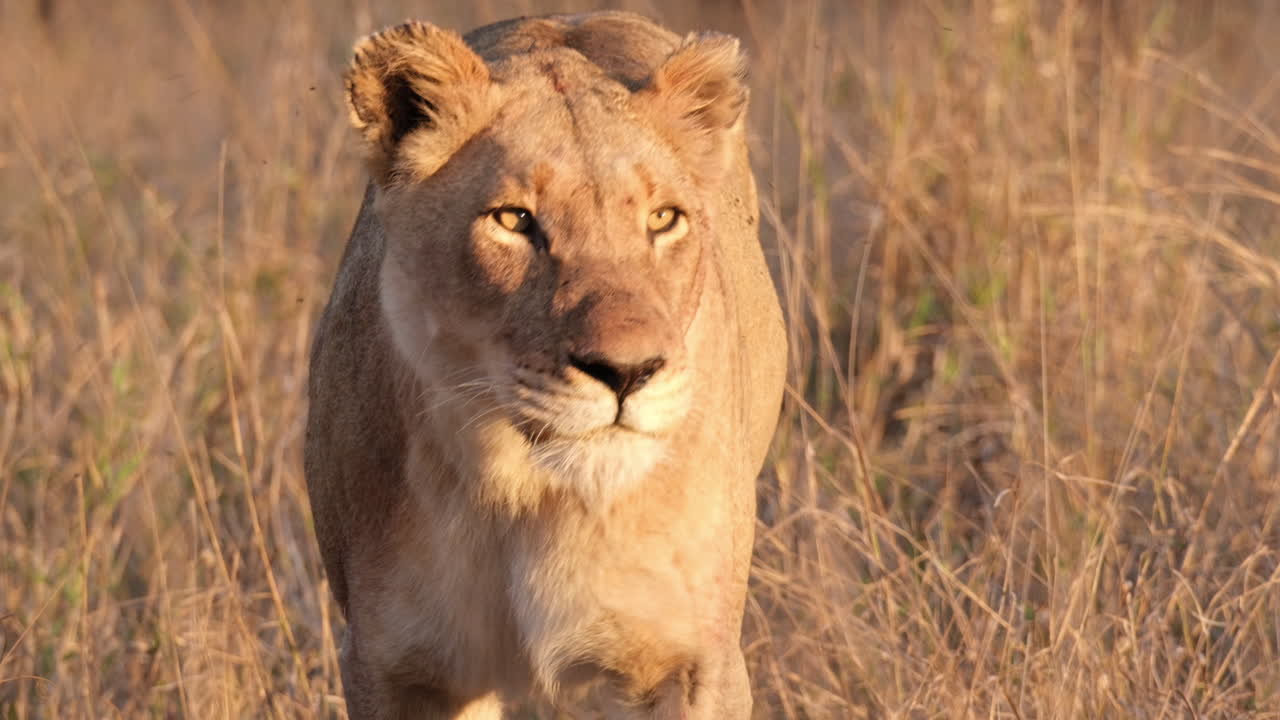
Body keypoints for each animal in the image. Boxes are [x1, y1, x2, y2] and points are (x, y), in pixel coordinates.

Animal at [304, 11, 786, 719]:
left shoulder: (696, 662)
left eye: (663, 219)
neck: (528, 495)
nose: (628, 372)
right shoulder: (394, 667)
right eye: (513, 219)